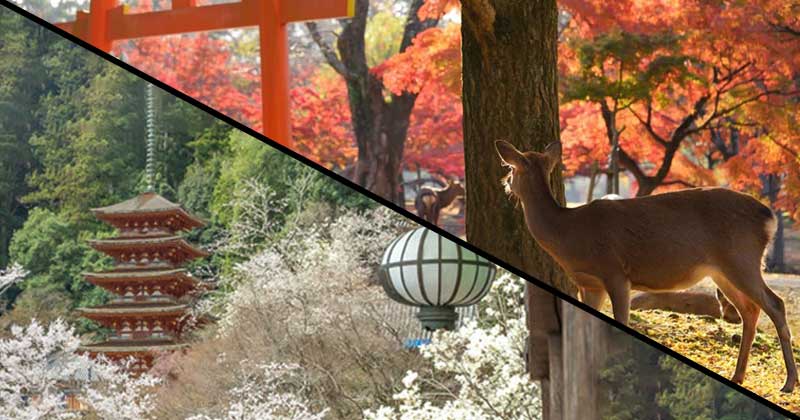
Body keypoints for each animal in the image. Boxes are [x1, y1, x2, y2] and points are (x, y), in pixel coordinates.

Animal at [496, 139, 796, 392]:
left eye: (511, 168)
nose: (505, 183)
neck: (569, 235)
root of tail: (769, 217)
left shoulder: (615, 271)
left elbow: (622, 319)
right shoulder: (589, 285)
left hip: (741, 258)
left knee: (775, 303)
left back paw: (788, 383)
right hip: (722, 271)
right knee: (750, 310)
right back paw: (738, 376)